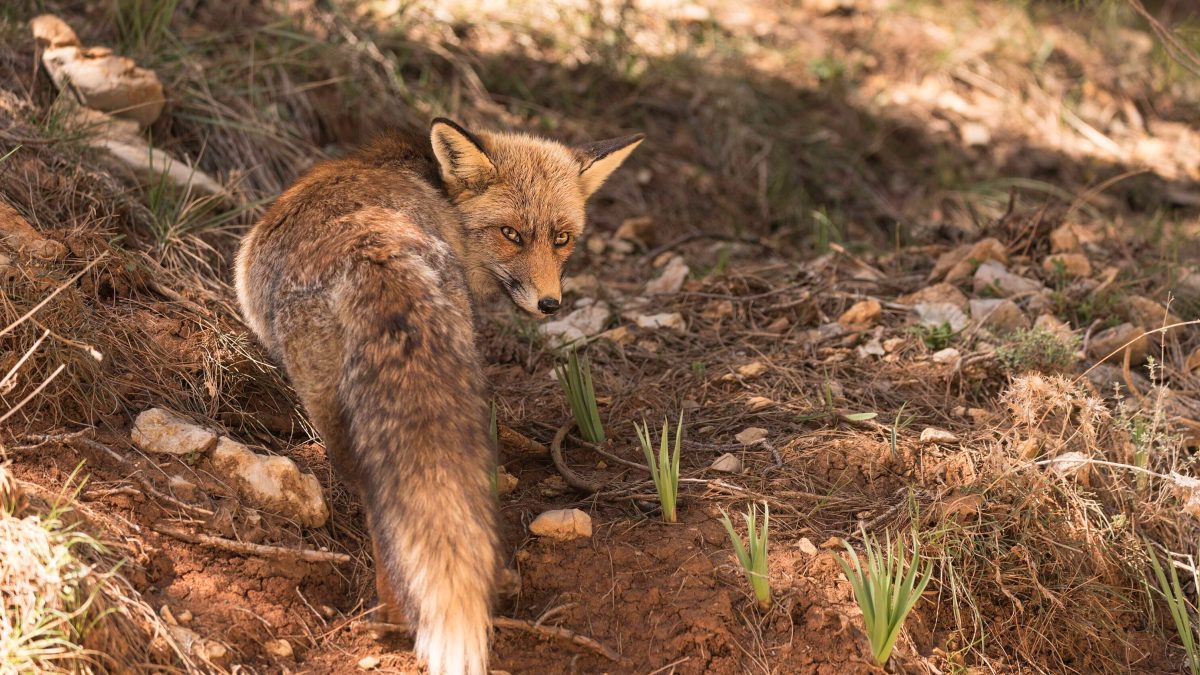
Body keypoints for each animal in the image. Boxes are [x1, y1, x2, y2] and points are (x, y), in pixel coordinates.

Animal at [234, 118, 642, 675]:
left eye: (561, 238)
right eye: (511, 234)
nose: (550, 304)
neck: (432, 185)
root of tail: (373, 248)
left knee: (382, 509)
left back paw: (390, 623)